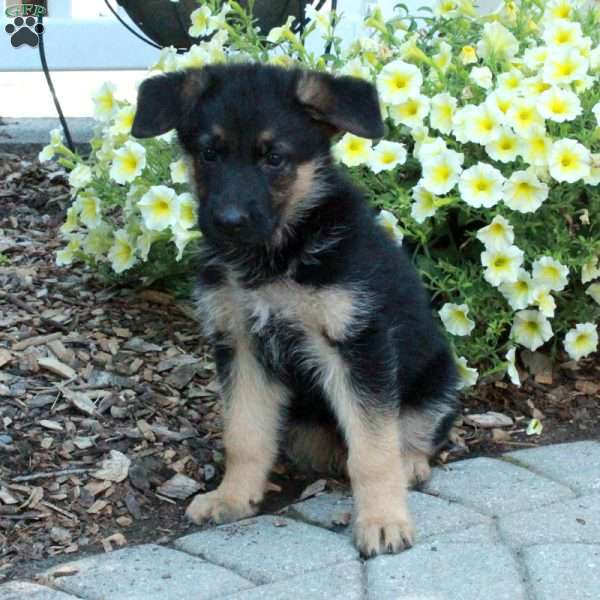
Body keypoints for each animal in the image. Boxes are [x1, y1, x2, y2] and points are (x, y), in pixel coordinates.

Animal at [132, 63, 460, 556]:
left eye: (274, 158)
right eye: (209, 153)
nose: (229, 221)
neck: (276, 256)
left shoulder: (357, 345)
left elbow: (373, 449)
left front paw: (383, 520)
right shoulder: (242, 345)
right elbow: (243, 435)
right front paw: (232, 497)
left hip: (438, 379)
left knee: (410, 436)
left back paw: (410, 467)